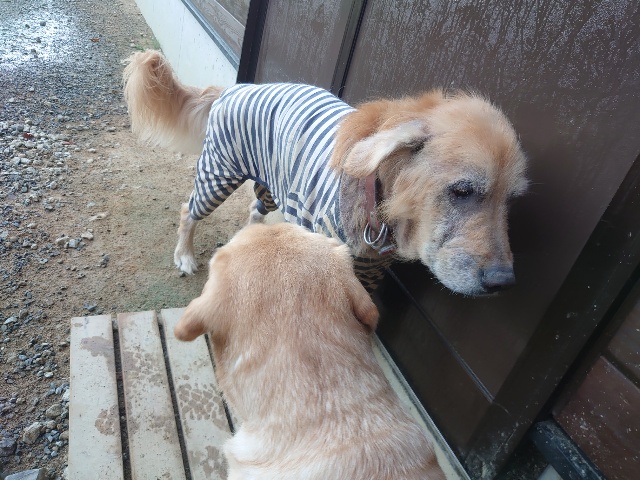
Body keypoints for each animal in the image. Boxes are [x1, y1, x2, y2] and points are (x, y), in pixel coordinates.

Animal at [123, 50, 528, 295]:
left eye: (510, 200)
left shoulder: (369, 271)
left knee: (253, 211)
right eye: (462, 190)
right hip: (219, 173)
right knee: (187, 210)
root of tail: (235, 87)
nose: (504, 281)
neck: (374, 199)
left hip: (272, 185)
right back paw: (185, 255)